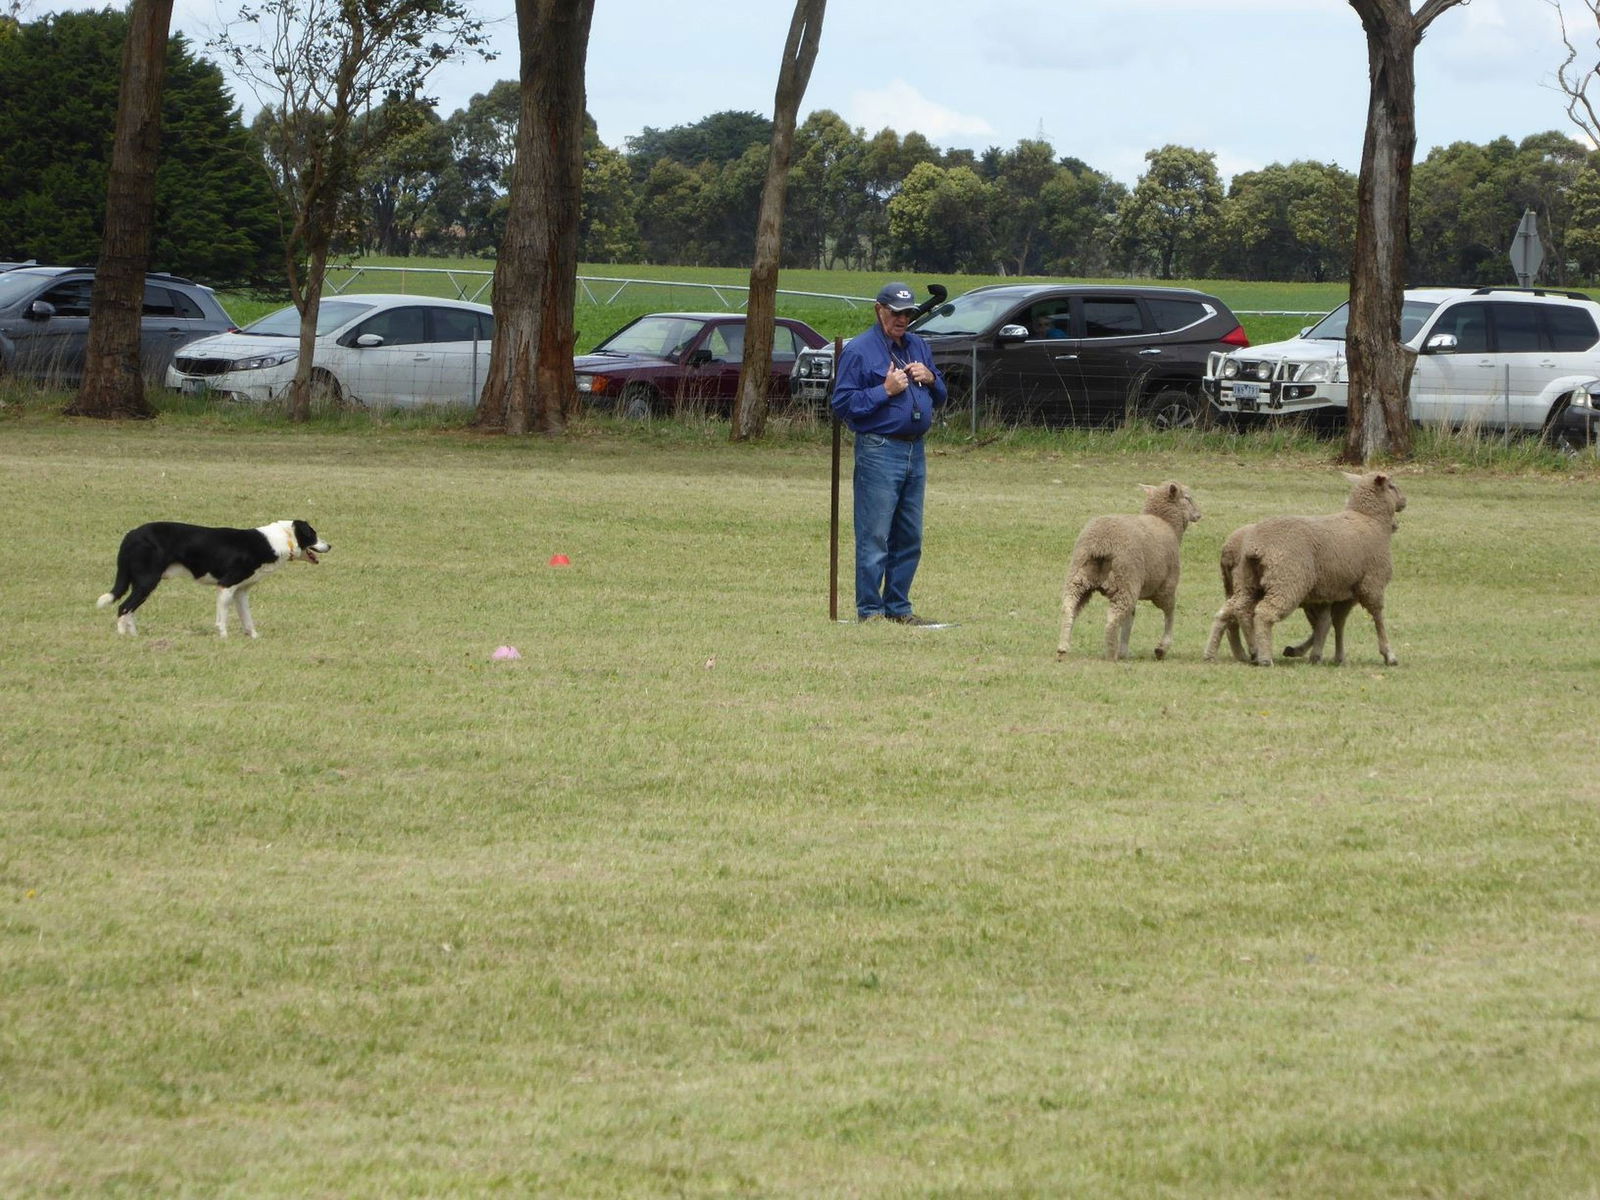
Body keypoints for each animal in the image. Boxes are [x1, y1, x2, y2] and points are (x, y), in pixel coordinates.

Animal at [1062, 483, 1203, 668]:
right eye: (1187, 497)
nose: (1199, 515)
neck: (1166, 522)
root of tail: (1101, 544)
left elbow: (1130, 618)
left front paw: (1125, 650)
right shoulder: (1166, 586)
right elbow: (1169, 613)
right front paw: (1162, 648)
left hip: (1080, 576)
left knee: (1069, 606)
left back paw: (1063, 647)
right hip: (1125, 580)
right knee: (1112, 619)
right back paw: (1111, 654)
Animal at [1203, 470, 1408, 672]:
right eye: (1391, 486)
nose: (1404, 501)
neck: (1370, 519)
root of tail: (1256, 546)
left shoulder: (1340, 591)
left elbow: (1334, 622)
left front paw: (1332, 656)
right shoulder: (1371, 584)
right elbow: (1376, 617)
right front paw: (1389, 655)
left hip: (1247, 582)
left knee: (1231, 611)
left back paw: (1220, 653)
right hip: (1287, 581)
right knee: (1263, 613)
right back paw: (1263, 658)